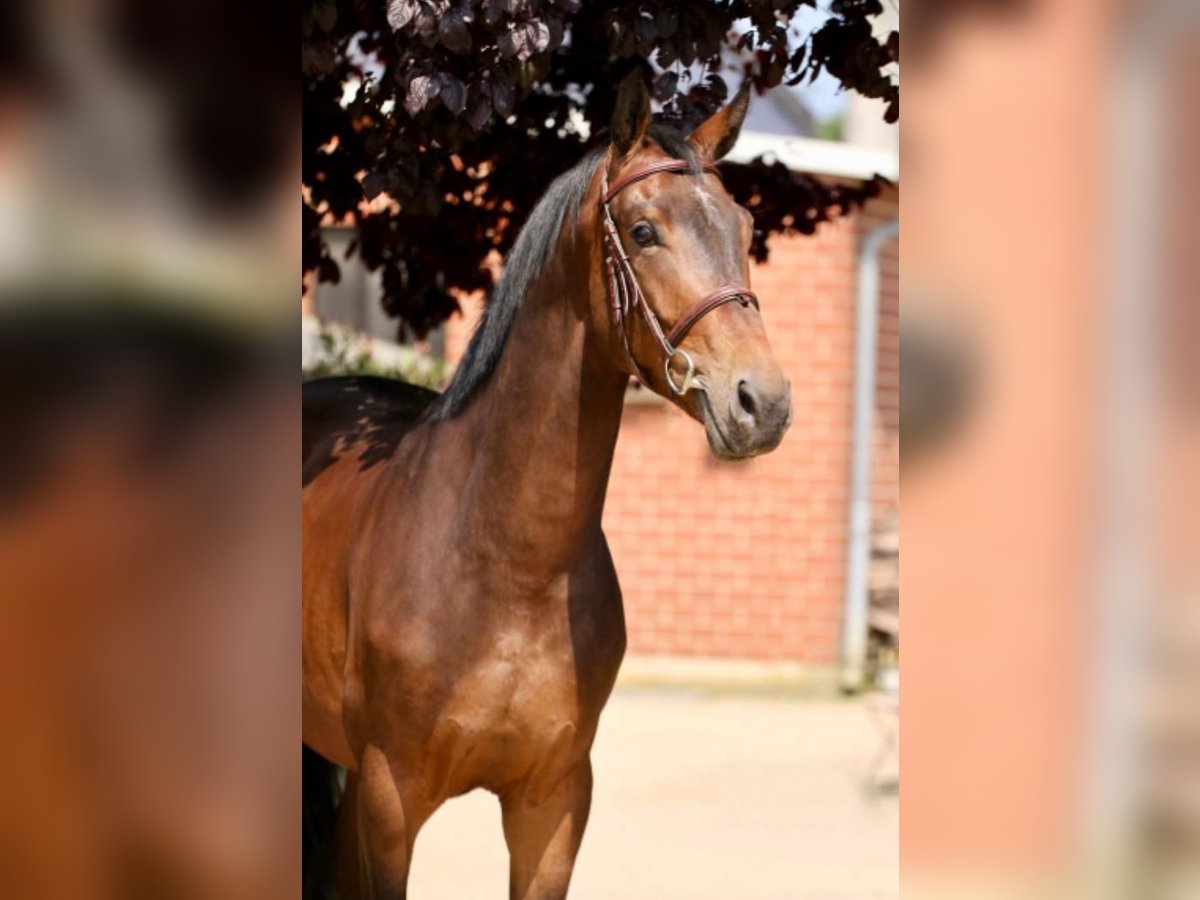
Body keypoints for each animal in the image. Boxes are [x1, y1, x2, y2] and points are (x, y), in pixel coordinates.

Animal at [300, 72, 792, 900]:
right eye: (644, 231)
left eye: (745, 225)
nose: (764, 402)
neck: (508, 566)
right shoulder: (391, 800)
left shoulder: (554, 804)